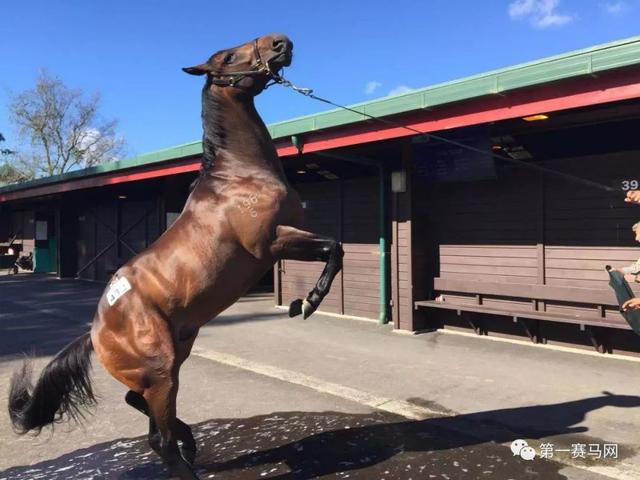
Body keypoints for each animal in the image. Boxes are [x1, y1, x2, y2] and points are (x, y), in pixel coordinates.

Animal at [7, 31, 342, 478]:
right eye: (228, 57)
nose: (280, 42)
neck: (239, 175)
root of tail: (95, 332)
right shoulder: (269, 245)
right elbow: (333, 248)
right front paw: (306, 302)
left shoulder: (282, 242)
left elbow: (334, 248)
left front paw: (302, 300)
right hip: (162, 371)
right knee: (158, 438)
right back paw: (186, 451)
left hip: (173, 360)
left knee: (143, 411)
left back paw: (190, 439)